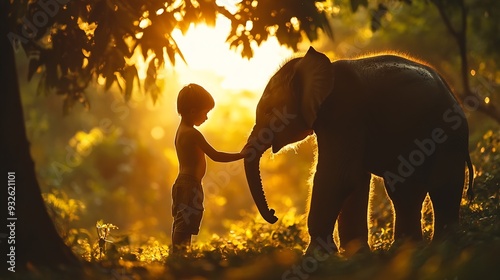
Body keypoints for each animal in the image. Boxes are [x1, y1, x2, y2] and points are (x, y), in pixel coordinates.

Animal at [244, 46, 474, 254]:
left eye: (269, 111)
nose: (274, 214)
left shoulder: (344, 111)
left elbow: (339, 178)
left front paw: (317, 257)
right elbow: (356, 180)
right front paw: (355, 254)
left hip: (447, 134)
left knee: (440, 185)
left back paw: (440, 247)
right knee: (406, 188)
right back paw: (410, 249)